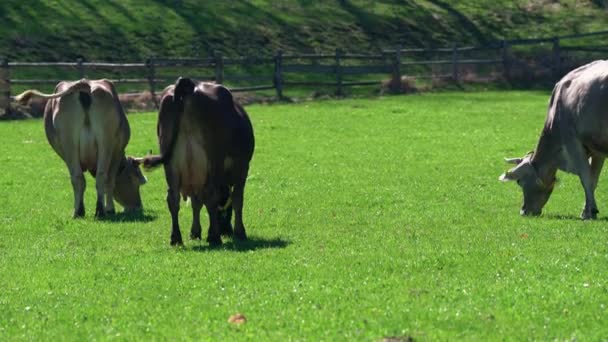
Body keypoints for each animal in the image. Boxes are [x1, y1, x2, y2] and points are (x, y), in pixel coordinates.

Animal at [15, 80, 146, 218]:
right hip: (106, 142)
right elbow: (110, 181)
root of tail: (85, 83)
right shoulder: (117, 150)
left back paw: (79, 211)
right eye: (135, 180)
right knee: (102, 177)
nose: (138, 206)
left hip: (70, 142)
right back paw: (100, 210)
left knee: (78, 178)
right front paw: (110, 209)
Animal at [142, 77, 254, 246]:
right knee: (211, 195)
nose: (225, 231)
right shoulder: (242, 168)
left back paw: (176, 238)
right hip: (213, 162)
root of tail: (189, 86)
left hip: (172, 164)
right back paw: (214, 237)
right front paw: (240, 232)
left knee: (173, 198)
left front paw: (195, 232)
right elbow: (237, 199)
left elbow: (196, 203)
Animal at [498, 59, 608, 219]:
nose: (524, 211)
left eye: (519, 182)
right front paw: (588, 210)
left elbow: (586, 178)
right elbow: (593, 179)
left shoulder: (572, 142)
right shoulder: (596, 148)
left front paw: (588, 212)